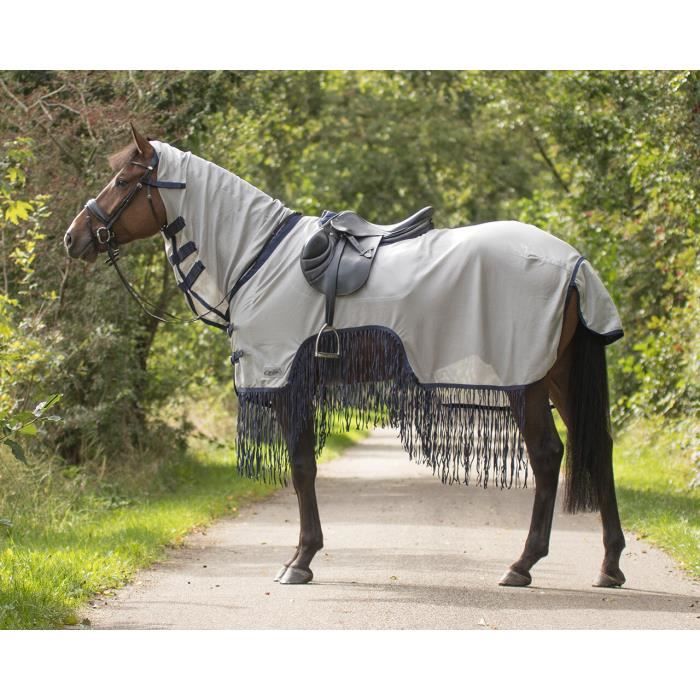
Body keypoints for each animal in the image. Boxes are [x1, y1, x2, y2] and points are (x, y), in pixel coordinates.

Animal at [64, 125, 627, 589]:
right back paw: (609, 565)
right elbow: (305, 468)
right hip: (556, 376)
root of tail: (574, 262)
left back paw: (523, 564)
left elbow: (301, 468)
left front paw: (301, 561)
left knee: (549, 456)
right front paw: (302, 556)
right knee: (596, 448)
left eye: (122, 181)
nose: (74, 238)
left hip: (526, 382)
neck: (258, 258)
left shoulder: (287, 385)